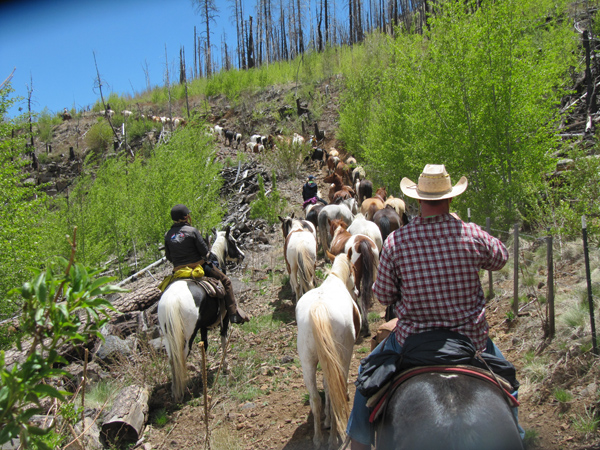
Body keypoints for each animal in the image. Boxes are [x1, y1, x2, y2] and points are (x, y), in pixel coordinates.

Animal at [296, 253, 360, 450]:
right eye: (354, 269)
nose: (357, 292)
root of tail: (319, 308)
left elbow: (324, 384)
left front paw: (326, 420)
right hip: (342, 356)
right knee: (335, 391)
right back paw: (333, 439)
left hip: (307, 363)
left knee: (315, 399)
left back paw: (318, 439)